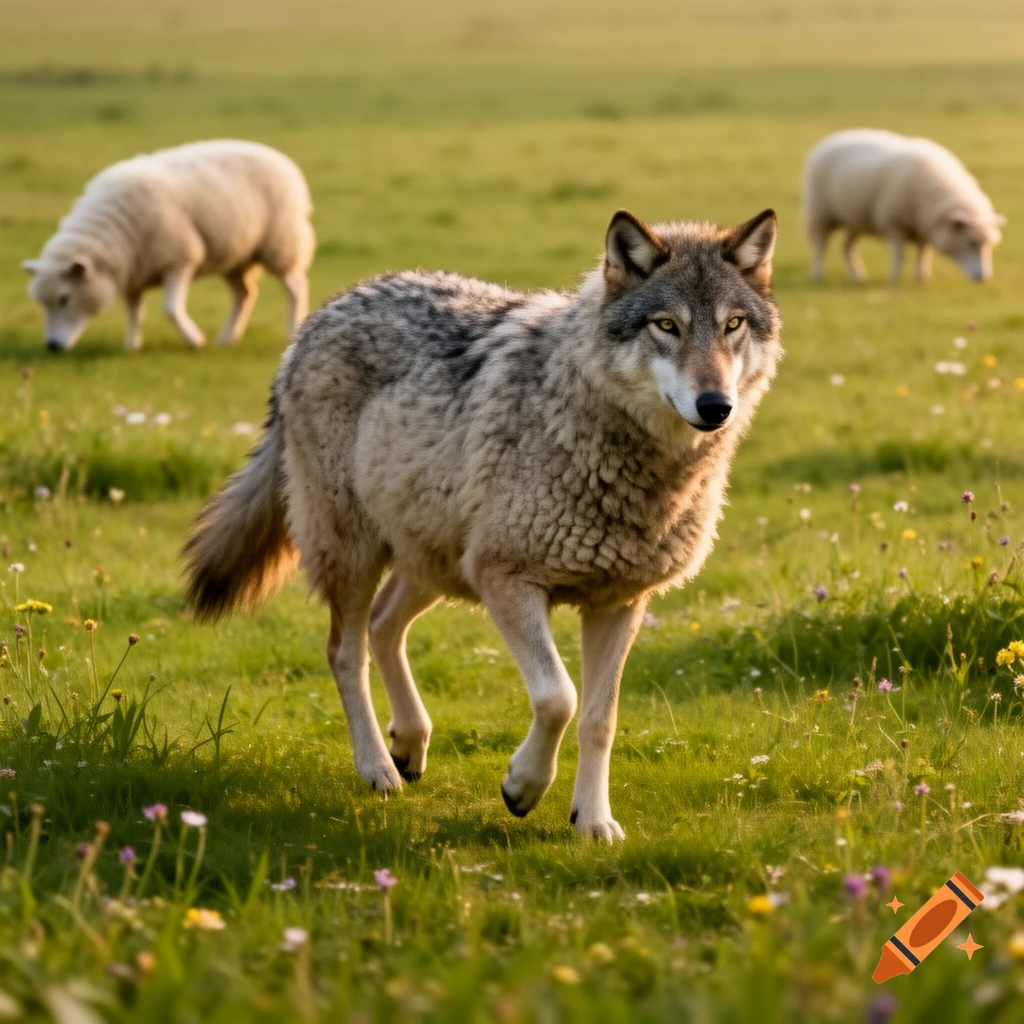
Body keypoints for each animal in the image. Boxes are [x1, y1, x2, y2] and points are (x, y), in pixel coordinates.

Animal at [184, 208, 782, 841]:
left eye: (733, 325)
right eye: (667, 325)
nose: (716, 406)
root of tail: (321, 315)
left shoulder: (619, 602)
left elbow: (600, 717)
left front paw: (593, 822)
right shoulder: (507, 579)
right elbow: (559, 697)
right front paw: (523, 787)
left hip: (435, 562)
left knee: (383, 625)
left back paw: (410, 743)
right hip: (358, 554)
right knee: (345, 652)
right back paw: (378, 770)